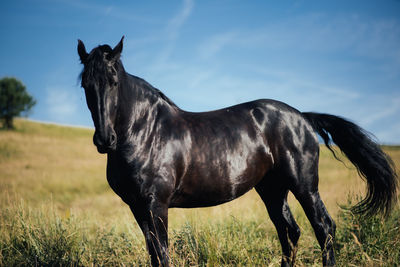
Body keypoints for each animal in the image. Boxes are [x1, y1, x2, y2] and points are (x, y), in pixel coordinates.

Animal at [77, 38, 396, 267]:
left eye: (114, 82)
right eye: (86, 85)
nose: (104, 140)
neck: (146, 131)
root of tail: (302, 118)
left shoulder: (156, 206)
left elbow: (163, 254)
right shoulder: (138, 207)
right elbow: (154, 255)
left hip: (304, 186)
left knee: (323, 228)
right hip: (272, 189)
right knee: (289, 232)